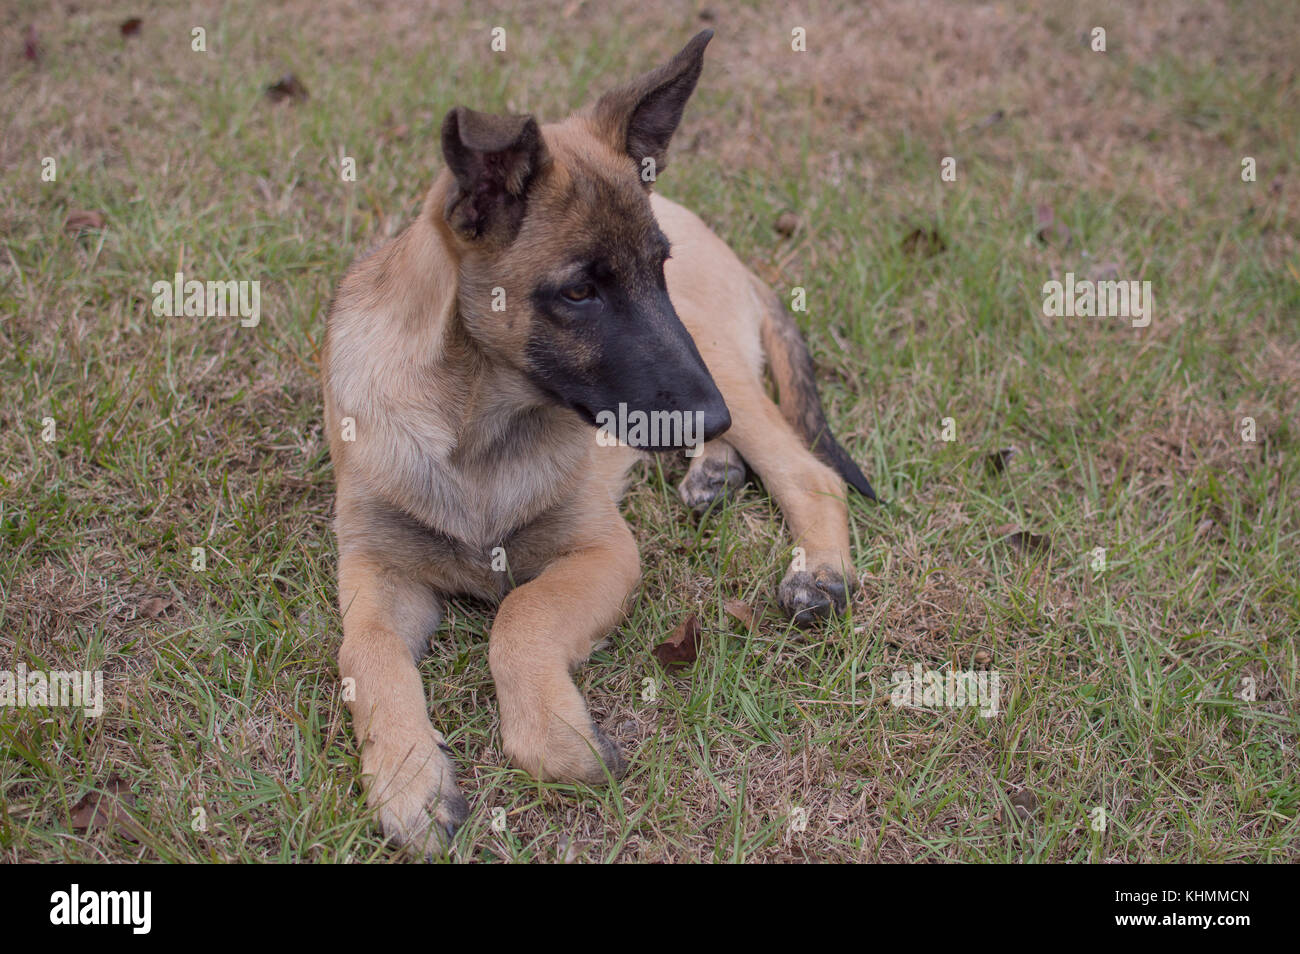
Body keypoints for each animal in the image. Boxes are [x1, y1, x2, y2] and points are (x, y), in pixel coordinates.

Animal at [321, 29, 878, 857]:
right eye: (579, 292)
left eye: (659, 269)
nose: (706, 418)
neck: (475, 430)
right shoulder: (375, 569)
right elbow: (365, 653)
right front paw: (407, 780)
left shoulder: (604, 552)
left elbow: (520, 616)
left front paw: (554, 737)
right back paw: (715, 472)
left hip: (718, 364)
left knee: (809, 473)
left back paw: (819, 567)